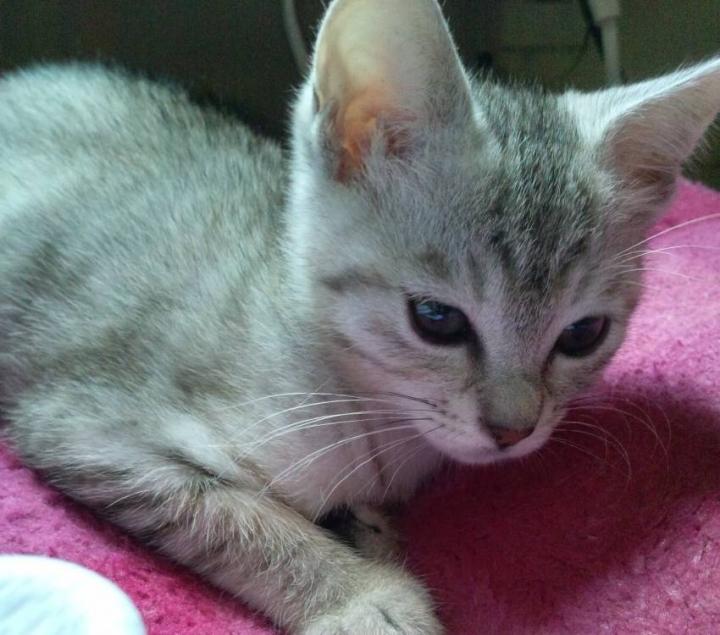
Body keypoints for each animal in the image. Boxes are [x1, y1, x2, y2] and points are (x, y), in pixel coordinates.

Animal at [0, 0, 718, 632]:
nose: (513, 430)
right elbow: (234, 516)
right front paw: (364, 596)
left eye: (583, 334)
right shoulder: (83, 426)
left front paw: (369, 535)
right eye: (435, 318)